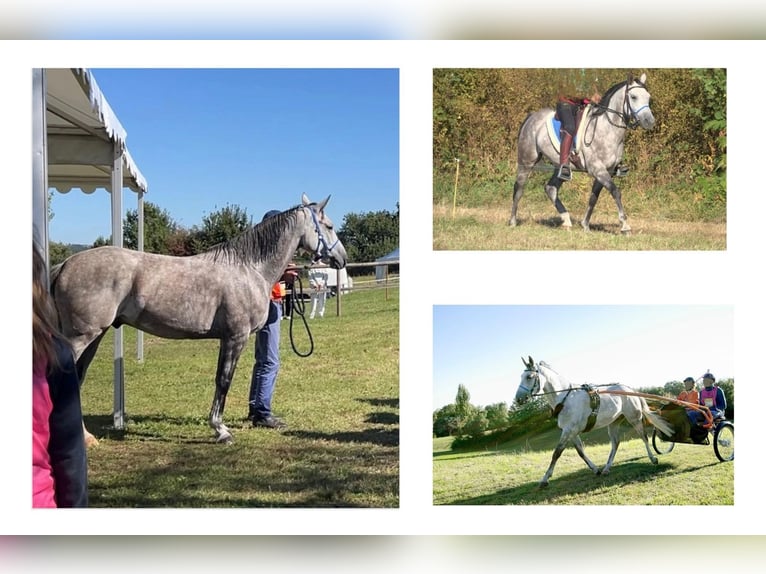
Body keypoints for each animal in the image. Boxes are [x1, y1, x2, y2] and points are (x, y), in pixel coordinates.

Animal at [54, 194, 352, 446]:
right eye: (329, 225)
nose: (342, 258)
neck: (248, 268)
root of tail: (66, 264)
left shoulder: (228, 338)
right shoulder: (235, 337)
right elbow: (224, 380)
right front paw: (221, 430)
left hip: (94, 337)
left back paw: (85, 437)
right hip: (81, 337)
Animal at [512, 73, 656, 233]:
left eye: (648, 97)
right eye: (633, 97)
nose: (649, 121)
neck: (607, 130)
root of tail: (531, 117)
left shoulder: (606, 171)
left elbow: (593, 198)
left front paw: (585, 225)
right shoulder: (598, 169)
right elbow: (615, 191)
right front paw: (625, 226)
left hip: (561, 166)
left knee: (551, 188)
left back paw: (566, 220)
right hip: (527, 161)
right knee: (519, 188)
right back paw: (512, 221)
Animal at [516, 358, 672, 488]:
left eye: (529, 377)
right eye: (521, 377)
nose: (518, 399)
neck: (565, 399)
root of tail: (629, 389)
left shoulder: (569, 431)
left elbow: (557, 453)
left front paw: (545, 479)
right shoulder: (571, 432)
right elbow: (580, 452)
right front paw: (596, 469)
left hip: (634, 418)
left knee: (644, 437)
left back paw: (653, 459)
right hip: (614, 423)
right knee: (615, 443)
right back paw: (606, 468)